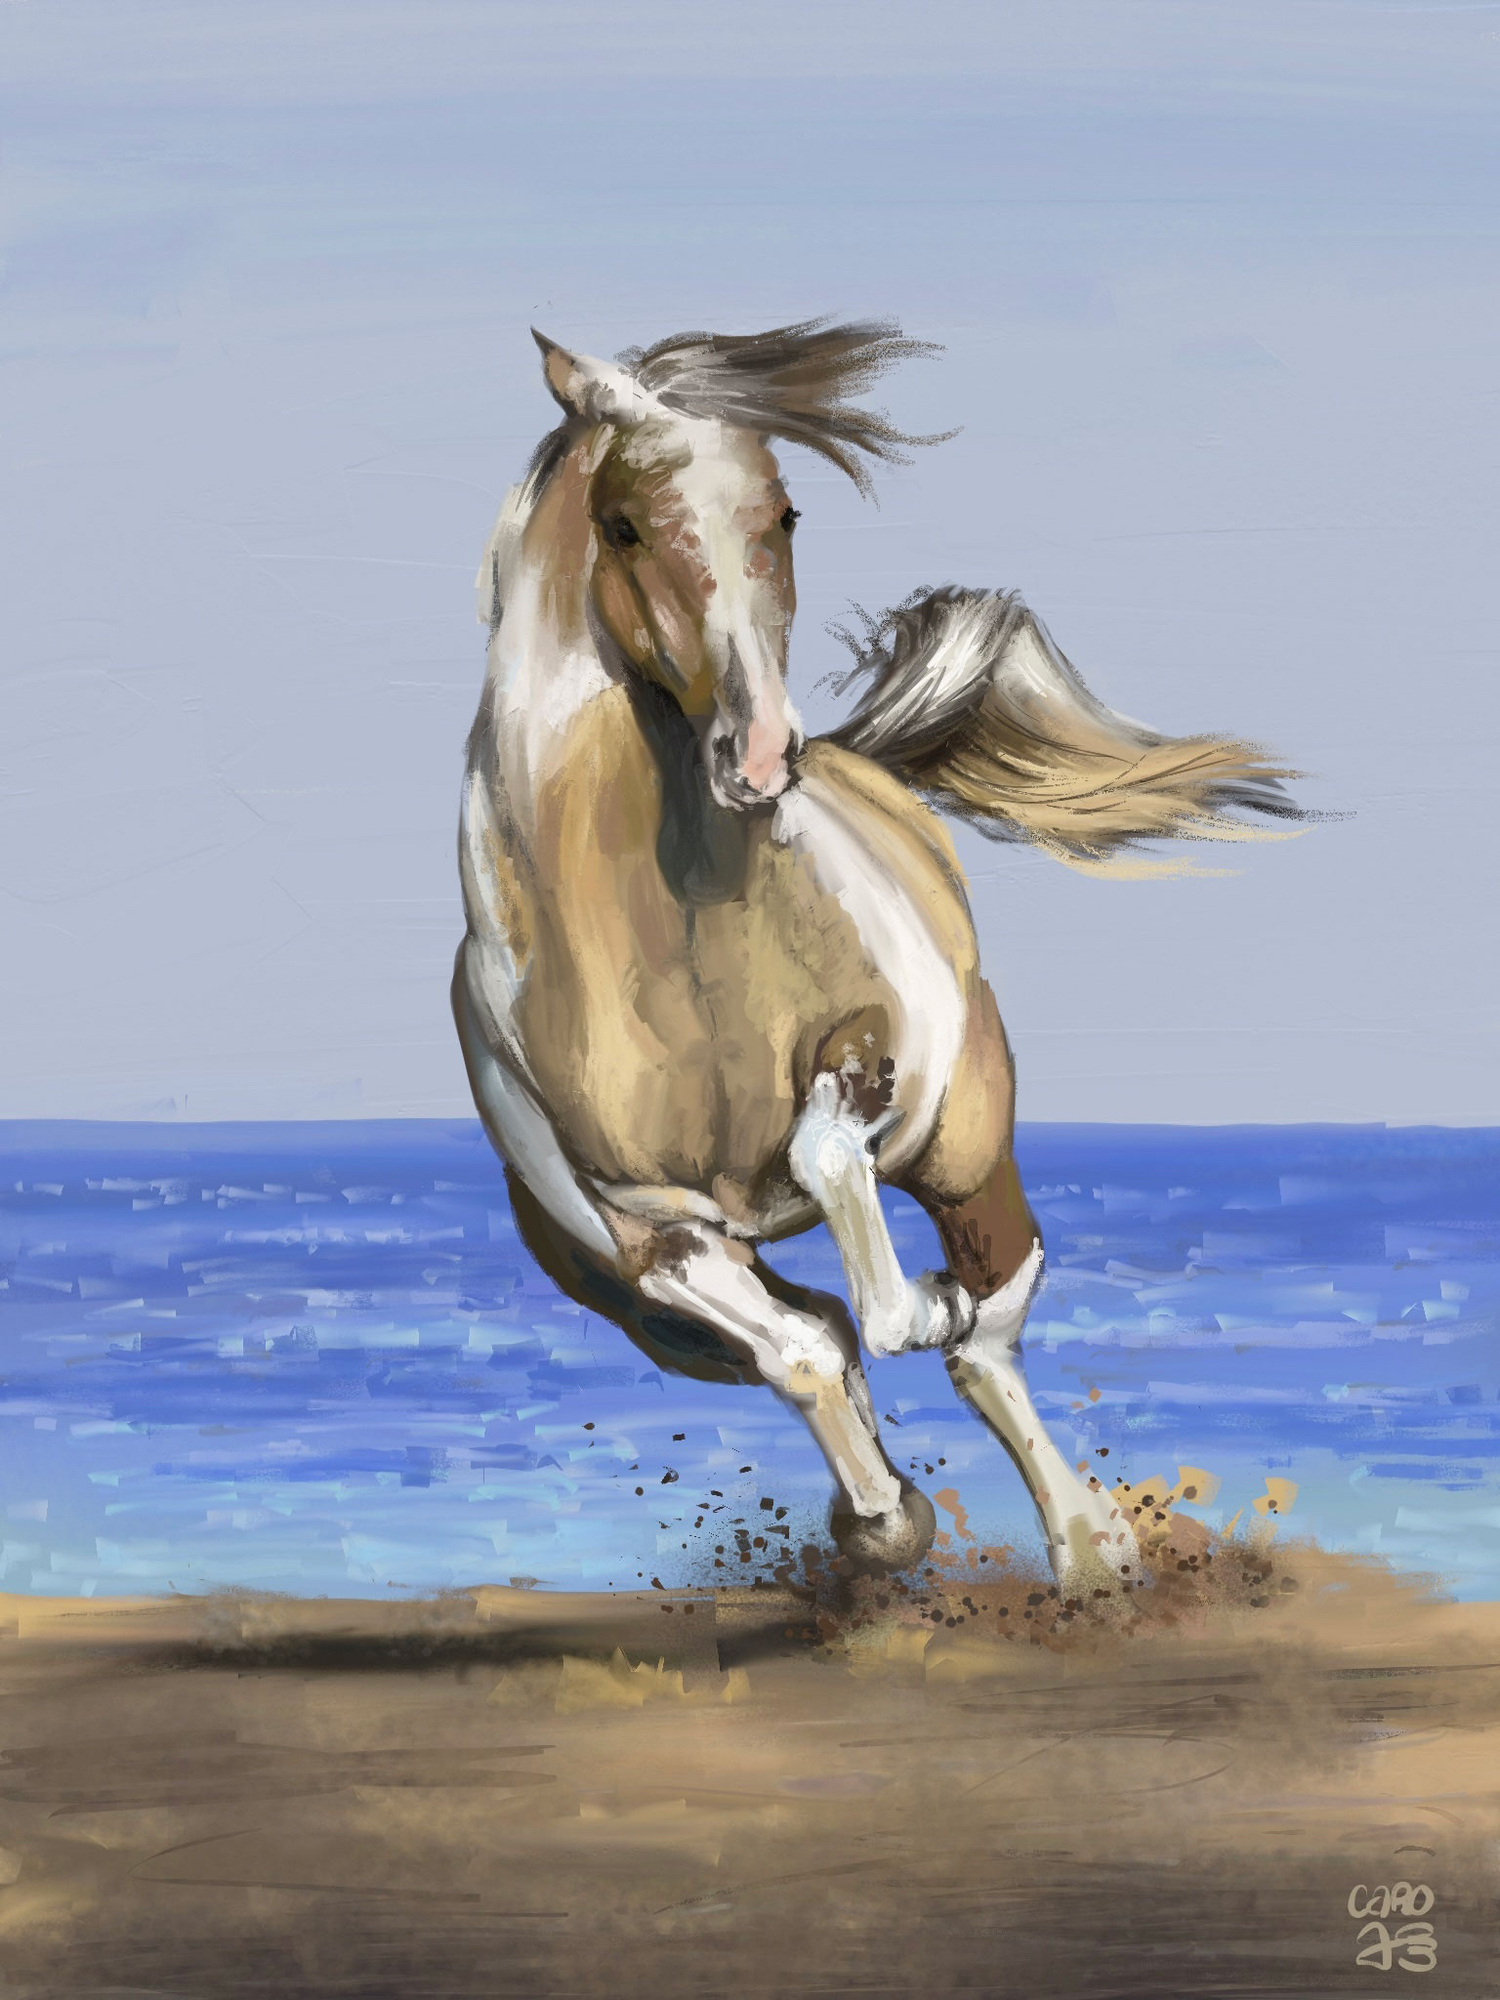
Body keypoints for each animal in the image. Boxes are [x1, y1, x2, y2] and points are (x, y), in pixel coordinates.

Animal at [454, 319, 1298, 1581]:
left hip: (968, 1138)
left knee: (989, 1322)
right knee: (815, 1332)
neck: (669, 939)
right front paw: (886, 1517)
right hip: (639, 1306)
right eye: (625, 524)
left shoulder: (891, 1062)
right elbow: (808, 1347)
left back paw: (1091, 1545)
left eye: (784, 512)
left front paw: (929, 1315)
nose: (759, 754)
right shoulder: (646, 1228)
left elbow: (846, 1190)